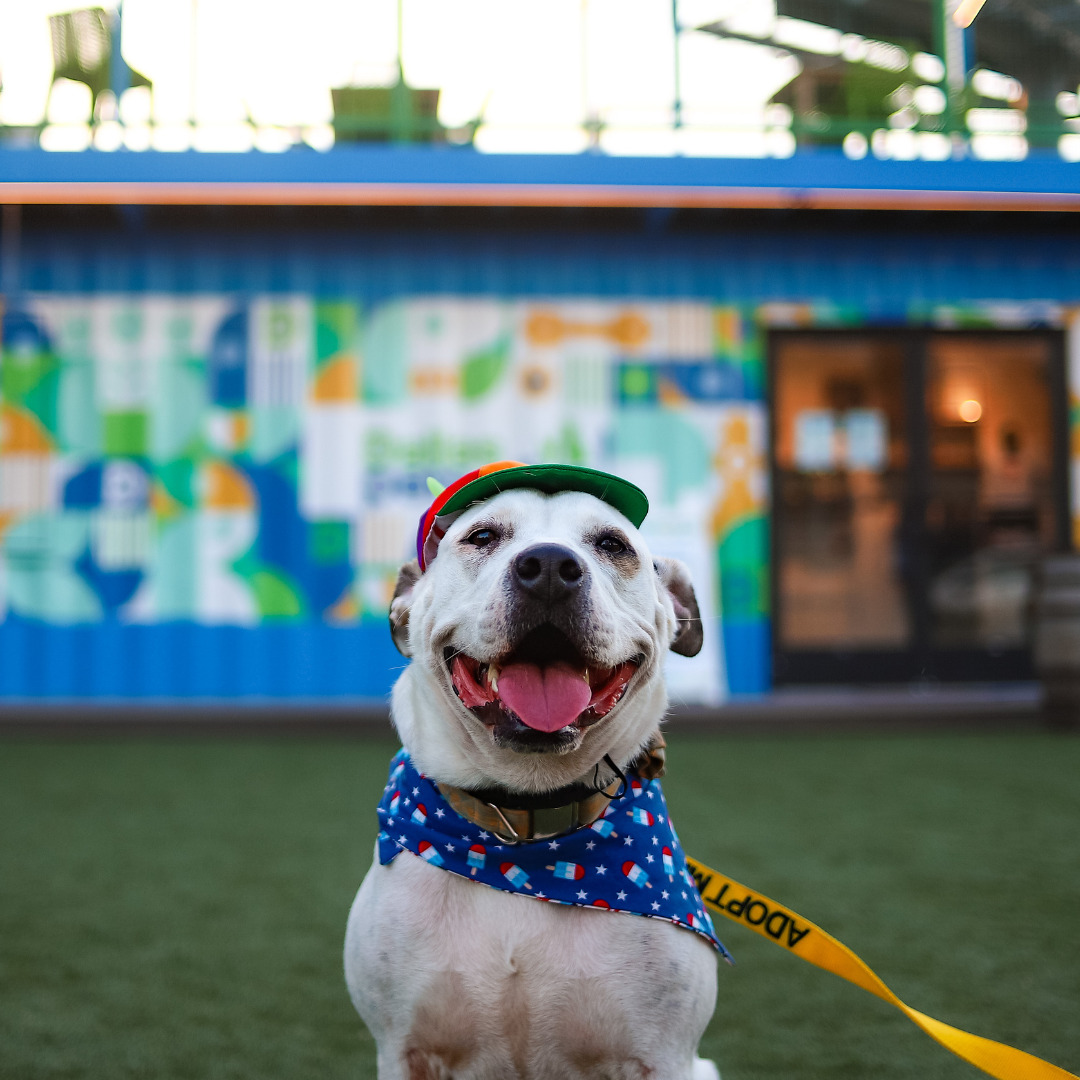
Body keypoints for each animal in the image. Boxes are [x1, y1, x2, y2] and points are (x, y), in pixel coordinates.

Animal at [345, 468, 721, 1080]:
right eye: (481, 536)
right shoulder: (404, 1050)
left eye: (612, 545)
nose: (548, 566)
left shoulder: (663, 1056)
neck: (522, 835)